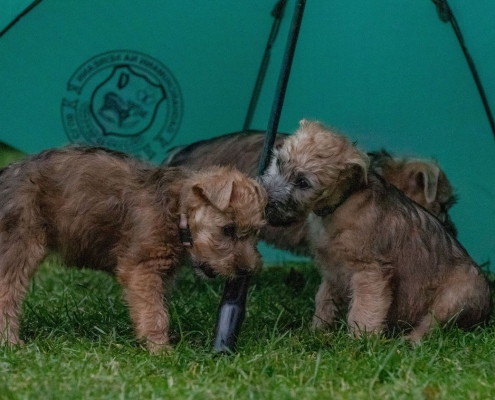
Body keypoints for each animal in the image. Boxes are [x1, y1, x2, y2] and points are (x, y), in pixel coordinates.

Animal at [0, 146, 268, 350]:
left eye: (256, 232)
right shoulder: (142, 269)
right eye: (228, 229)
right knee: (7, 294)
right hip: (20, 247)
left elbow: (155, 307)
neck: (177, 210)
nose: (247, 271)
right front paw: (161, 350)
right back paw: (11, 342)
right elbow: (155, 313)